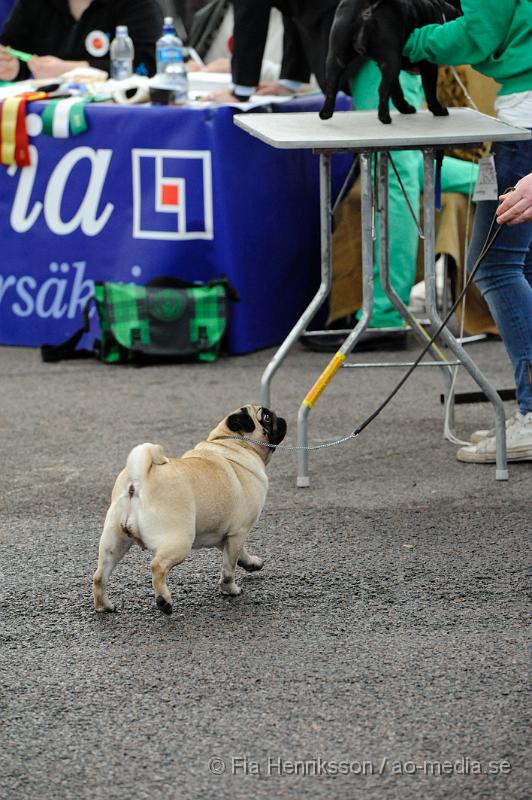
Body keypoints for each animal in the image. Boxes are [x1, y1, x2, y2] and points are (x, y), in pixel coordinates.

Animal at [320, 0, 462, 123]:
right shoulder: (428, 67)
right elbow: (430, 91)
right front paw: (438, 110)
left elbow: (396, 91)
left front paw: (405, 109)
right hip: (392, 61)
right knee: (382, 90)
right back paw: (384, 118)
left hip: (337, 56)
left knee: (332, 85)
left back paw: (325, 113)